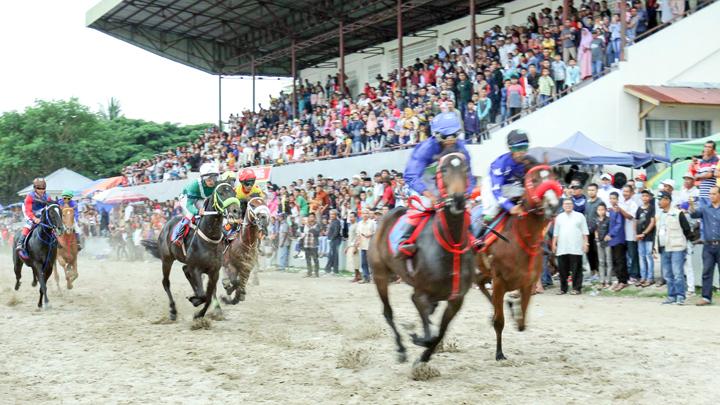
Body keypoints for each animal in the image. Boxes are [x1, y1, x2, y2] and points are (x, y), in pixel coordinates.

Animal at [141, 182, 242, 318]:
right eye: (221, 193)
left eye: (234, 192)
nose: (236, 211)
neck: (209, 237)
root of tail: (166, 226)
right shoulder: (196, 268)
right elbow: (204, 295)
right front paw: (195, 302)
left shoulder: (214, 271)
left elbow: (208, 295)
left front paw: (200, 312)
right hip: (167, 259)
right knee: (166, 282)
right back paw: (173, 310)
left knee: (185, 271)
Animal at [368, 150, 476, 364]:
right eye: (443, 169)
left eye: (466, 168)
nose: (458, 199)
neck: (449, 245)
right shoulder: (420, 294)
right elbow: (430, 332)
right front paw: (417, 339)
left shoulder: (456, 299)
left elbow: (440, 332)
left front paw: (425, 355)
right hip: (380, 274)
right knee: (388, 312)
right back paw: (401, 349)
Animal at [478, 163, 564, 360]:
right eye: (534, 180)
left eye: (554, 178)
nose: (553, 205)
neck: (522, 239)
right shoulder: (499, 281)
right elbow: (499, 321)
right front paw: (499, 353)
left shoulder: (527, 282)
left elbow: (522, 322)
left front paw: (512, 306)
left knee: (480, 285)